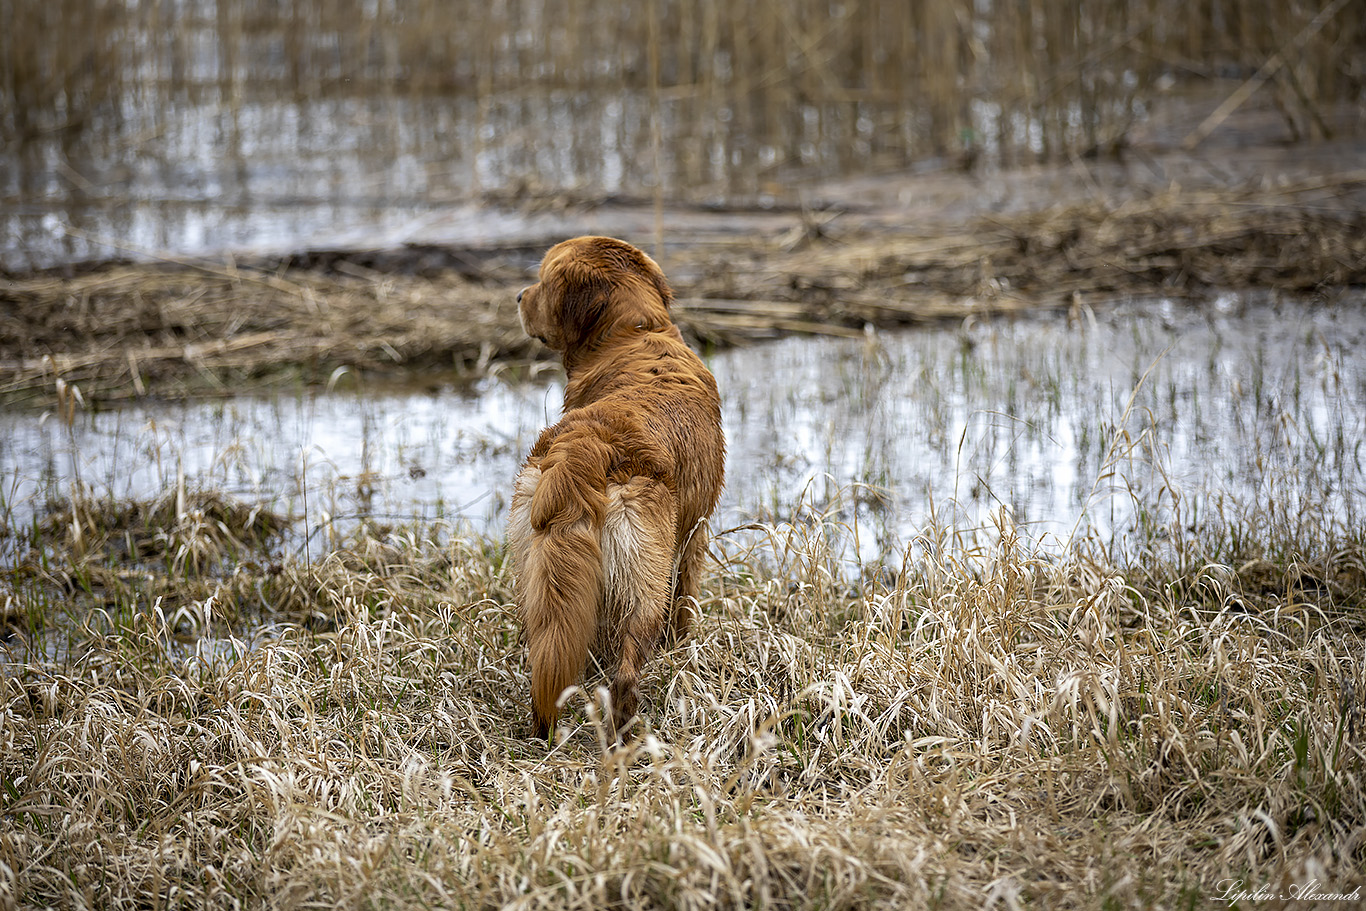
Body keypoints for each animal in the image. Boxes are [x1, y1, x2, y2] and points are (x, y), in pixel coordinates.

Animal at [510, 234, 726, 743]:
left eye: (542, 280)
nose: (519, 296)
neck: (633, 332)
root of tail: (588, 446)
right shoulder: (694, 535)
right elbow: (685, 607)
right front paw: (682, 648)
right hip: (645, 577)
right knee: (627, 673)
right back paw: (627, 739)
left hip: (538, 571)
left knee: (547, 651)